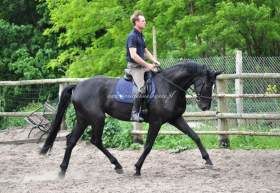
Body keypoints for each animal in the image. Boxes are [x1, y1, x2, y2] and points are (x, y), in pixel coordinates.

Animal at [41, 61, 221, 176]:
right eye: (206, 84)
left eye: (213, 85)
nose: (205, 106)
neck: (169, 86)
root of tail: (77, 86)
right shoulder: (156, 122)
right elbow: (148, 146)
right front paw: (137, 168)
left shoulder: (175, 119)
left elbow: (195, 136)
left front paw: (208, 160)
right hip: (97, 118)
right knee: (95, 140)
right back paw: (117, 165)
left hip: (83, 119)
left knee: (72, 140)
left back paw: (63, 170)